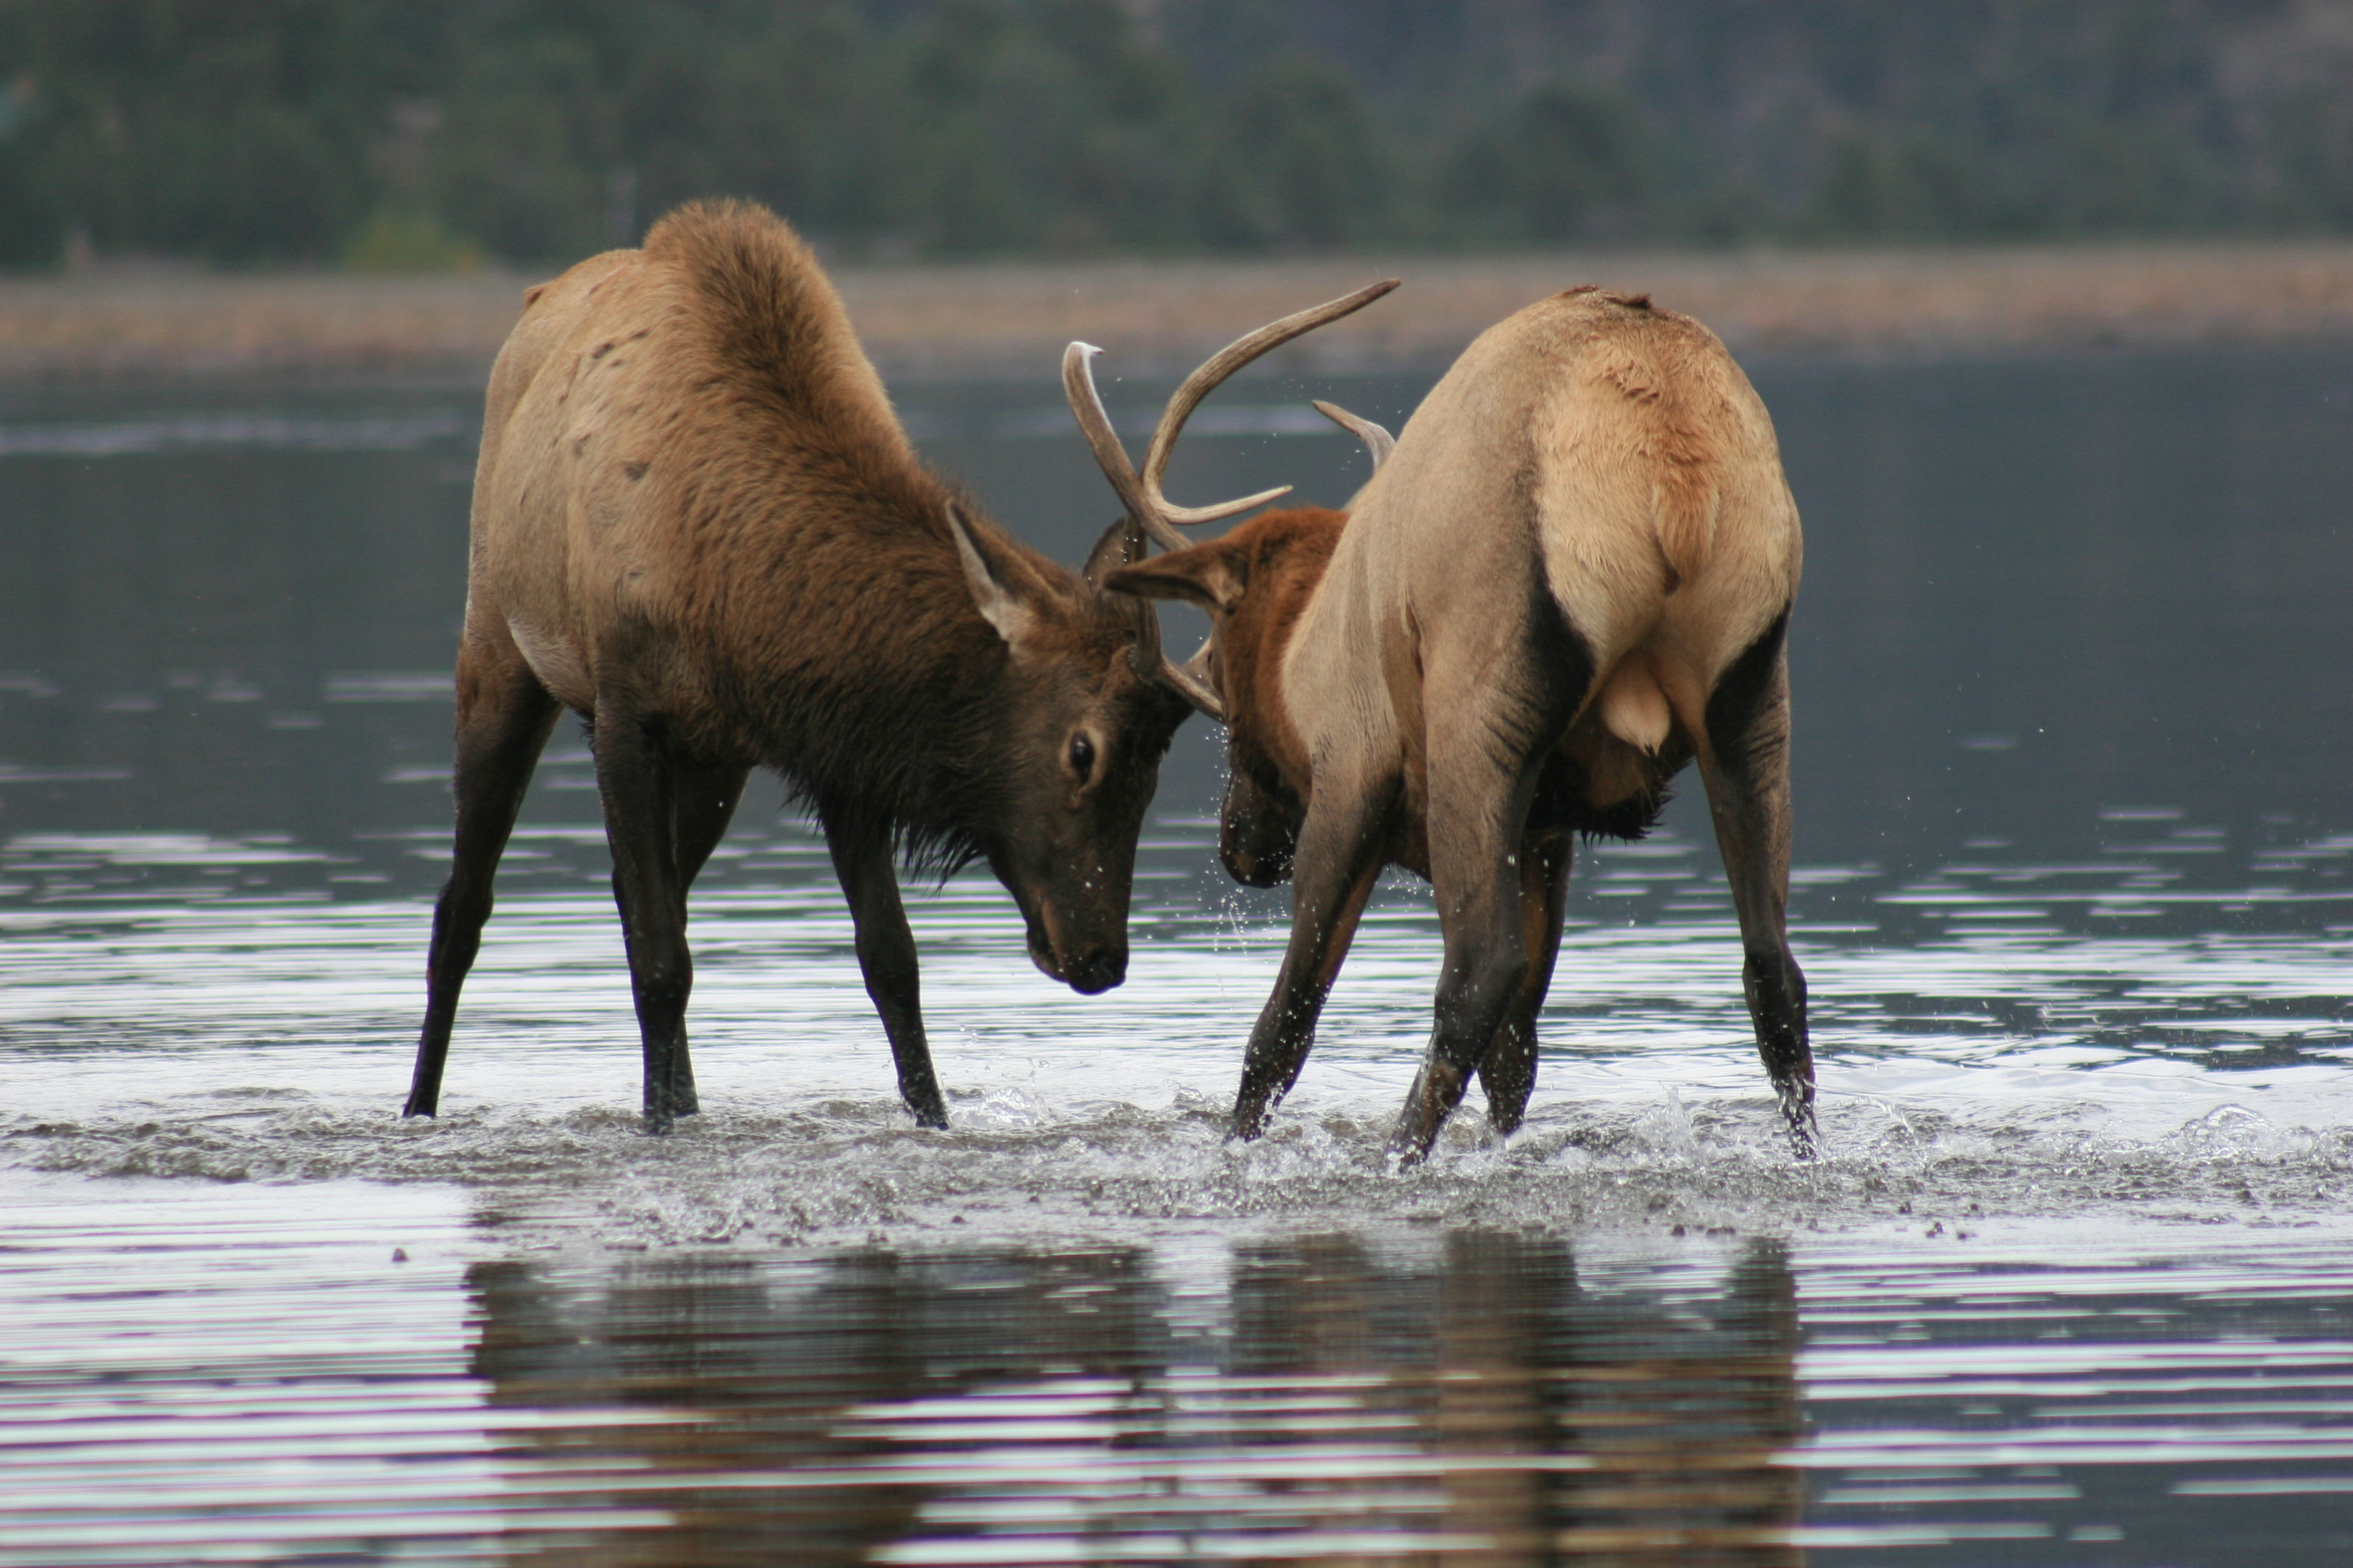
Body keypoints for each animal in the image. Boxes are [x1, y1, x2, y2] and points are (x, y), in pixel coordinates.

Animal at [400, 202, 1393, 1133]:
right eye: (1084, 751)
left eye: (1158, 761)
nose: (1101, 959)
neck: (727, 587)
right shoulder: (626, 713)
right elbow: (657, 958)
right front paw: (656, 1127)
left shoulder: (835, 749)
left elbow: (891, 963)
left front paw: (932, 1117)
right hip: (498, 648)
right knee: (466, 906)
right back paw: (422, 1103)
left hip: (714, 763)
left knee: (647, 890)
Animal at [1101, 285, 1816, 1166]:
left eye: (1224, 680)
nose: (1240, 847)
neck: (1301, 650)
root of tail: (1669, 468)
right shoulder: (1547, 833)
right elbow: (1518, 1054)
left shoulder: (1350, 778)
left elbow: (1284, 1025)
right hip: (1749, 702)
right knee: (1772, 972)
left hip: (1480, 719)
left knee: (1476, 972)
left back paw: (1396, 1156)